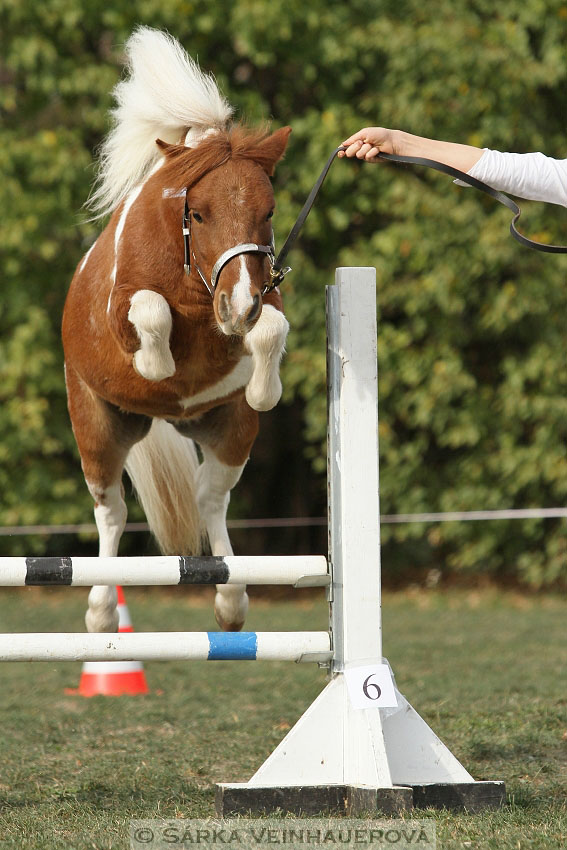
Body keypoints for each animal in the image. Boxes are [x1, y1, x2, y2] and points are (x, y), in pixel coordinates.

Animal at [63, 28, 292, 628]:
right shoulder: (127, 312)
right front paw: (158, 364)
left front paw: (265, 388)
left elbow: (272, 330)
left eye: (269, 211)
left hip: (228, 432)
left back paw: (232, 602)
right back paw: (101, 614)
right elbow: (150, 312)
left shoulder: (263, 299)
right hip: (98, 427)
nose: (238, 307)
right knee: (112, 513)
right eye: (197, 214)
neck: (196, 283)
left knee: (211, 497)